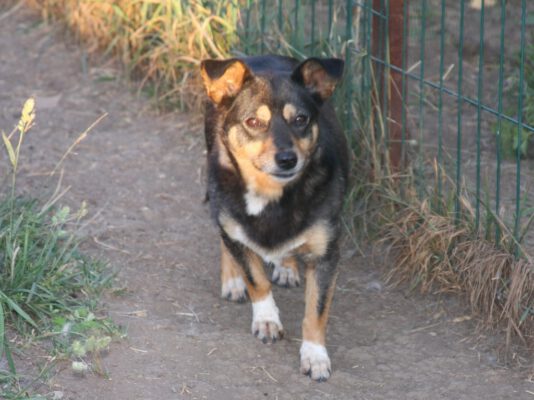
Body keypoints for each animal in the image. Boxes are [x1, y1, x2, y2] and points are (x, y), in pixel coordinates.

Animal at [200, 54, 348, 382]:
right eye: (253, 122)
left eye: (301, 120)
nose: (288, 159)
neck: (273, 196)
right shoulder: (234, 226)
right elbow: (256, 279)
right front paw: (266, 318)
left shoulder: (326, 254)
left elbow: (316, 311)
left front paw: (314, 355)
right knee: (224, 236)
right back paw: (232, 279)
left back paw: (287, 266)